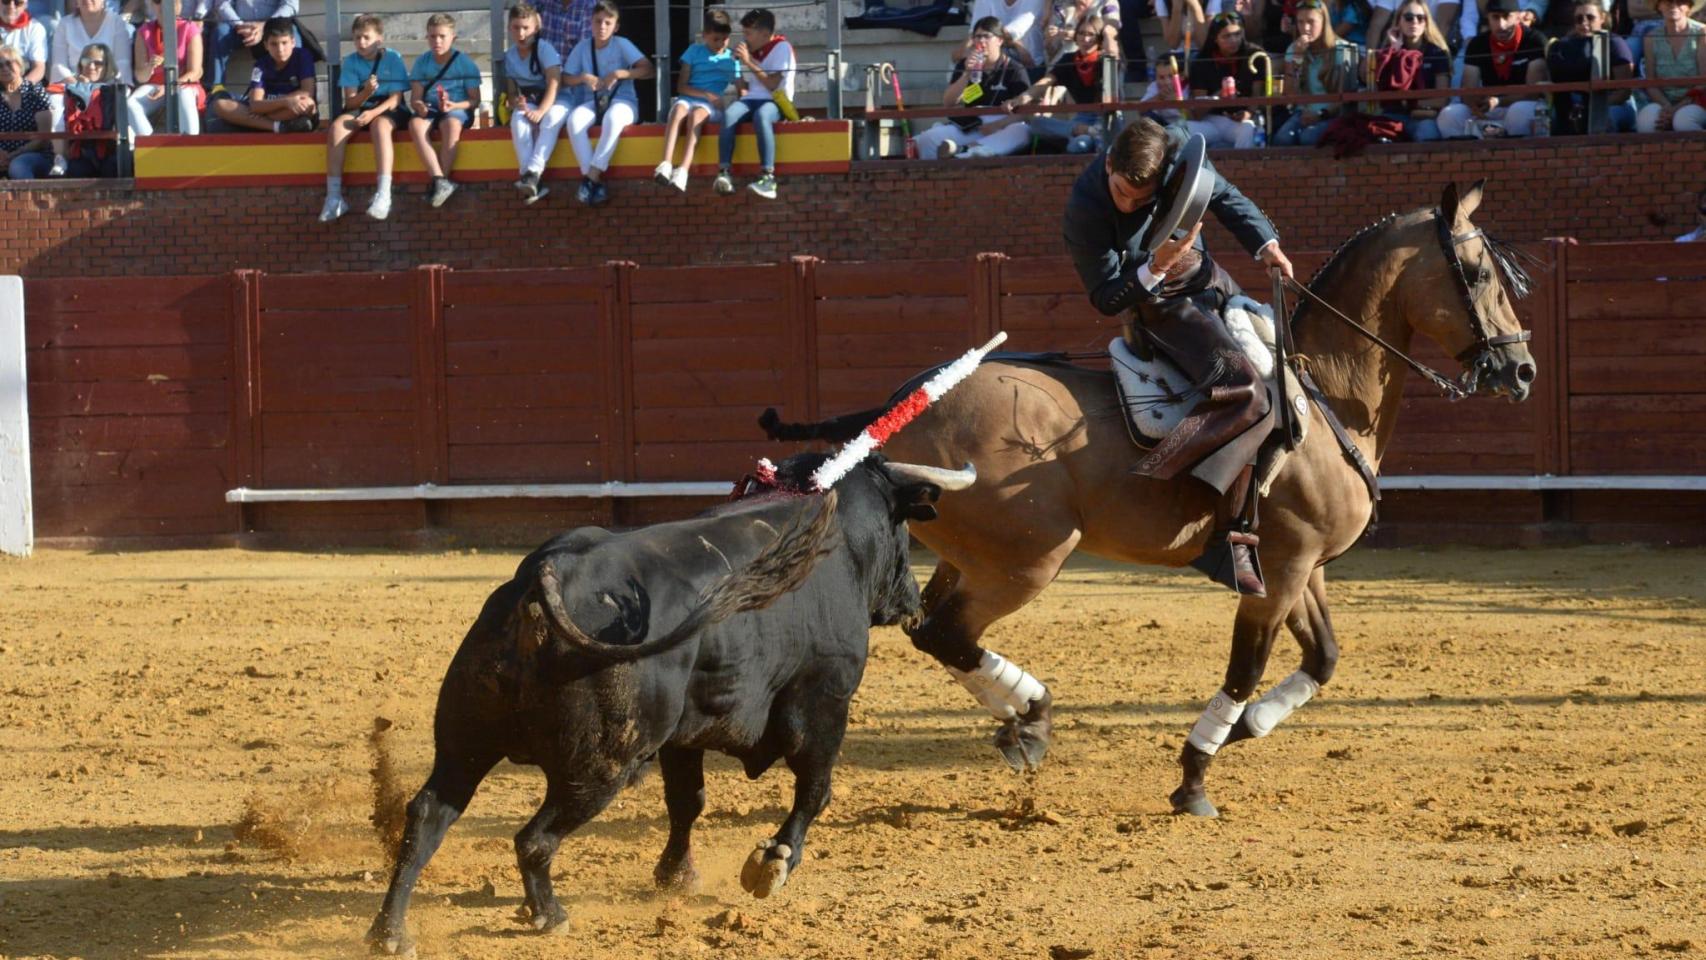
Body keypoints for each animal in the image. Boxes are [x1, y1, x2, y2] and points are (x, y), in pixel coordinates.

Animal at [368, 453, 975, 948]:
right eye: (903, 531)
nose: (915, 600)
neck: (839, 541)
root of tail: (546, 575)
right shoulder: (824, 700)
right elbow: (814, 791)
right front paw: (772, 864)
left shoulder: (687, 732)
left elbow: (688, 801)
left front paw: (676, 876)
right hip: (602, 765)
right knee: (534, 839)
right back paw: (550, 916)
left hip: (464, 740)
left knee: (428, 814)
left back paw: (390, 932)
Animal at [767, 182, 1542, 818]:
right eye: (1477, 274)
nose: (1522, 368)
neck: (1325, 391)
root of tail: (902, 408)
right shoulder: (1279, 572)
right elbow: (1245, 668)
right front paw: (1196, 773)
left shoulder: (1305, 567)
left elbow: (1323, 657)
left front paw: (1248, 728)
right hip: (1027, 561)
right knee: (944, 632)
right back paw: (1033, 717)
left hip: (970, 555)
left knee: (934, 629)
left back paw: (1021, 724)